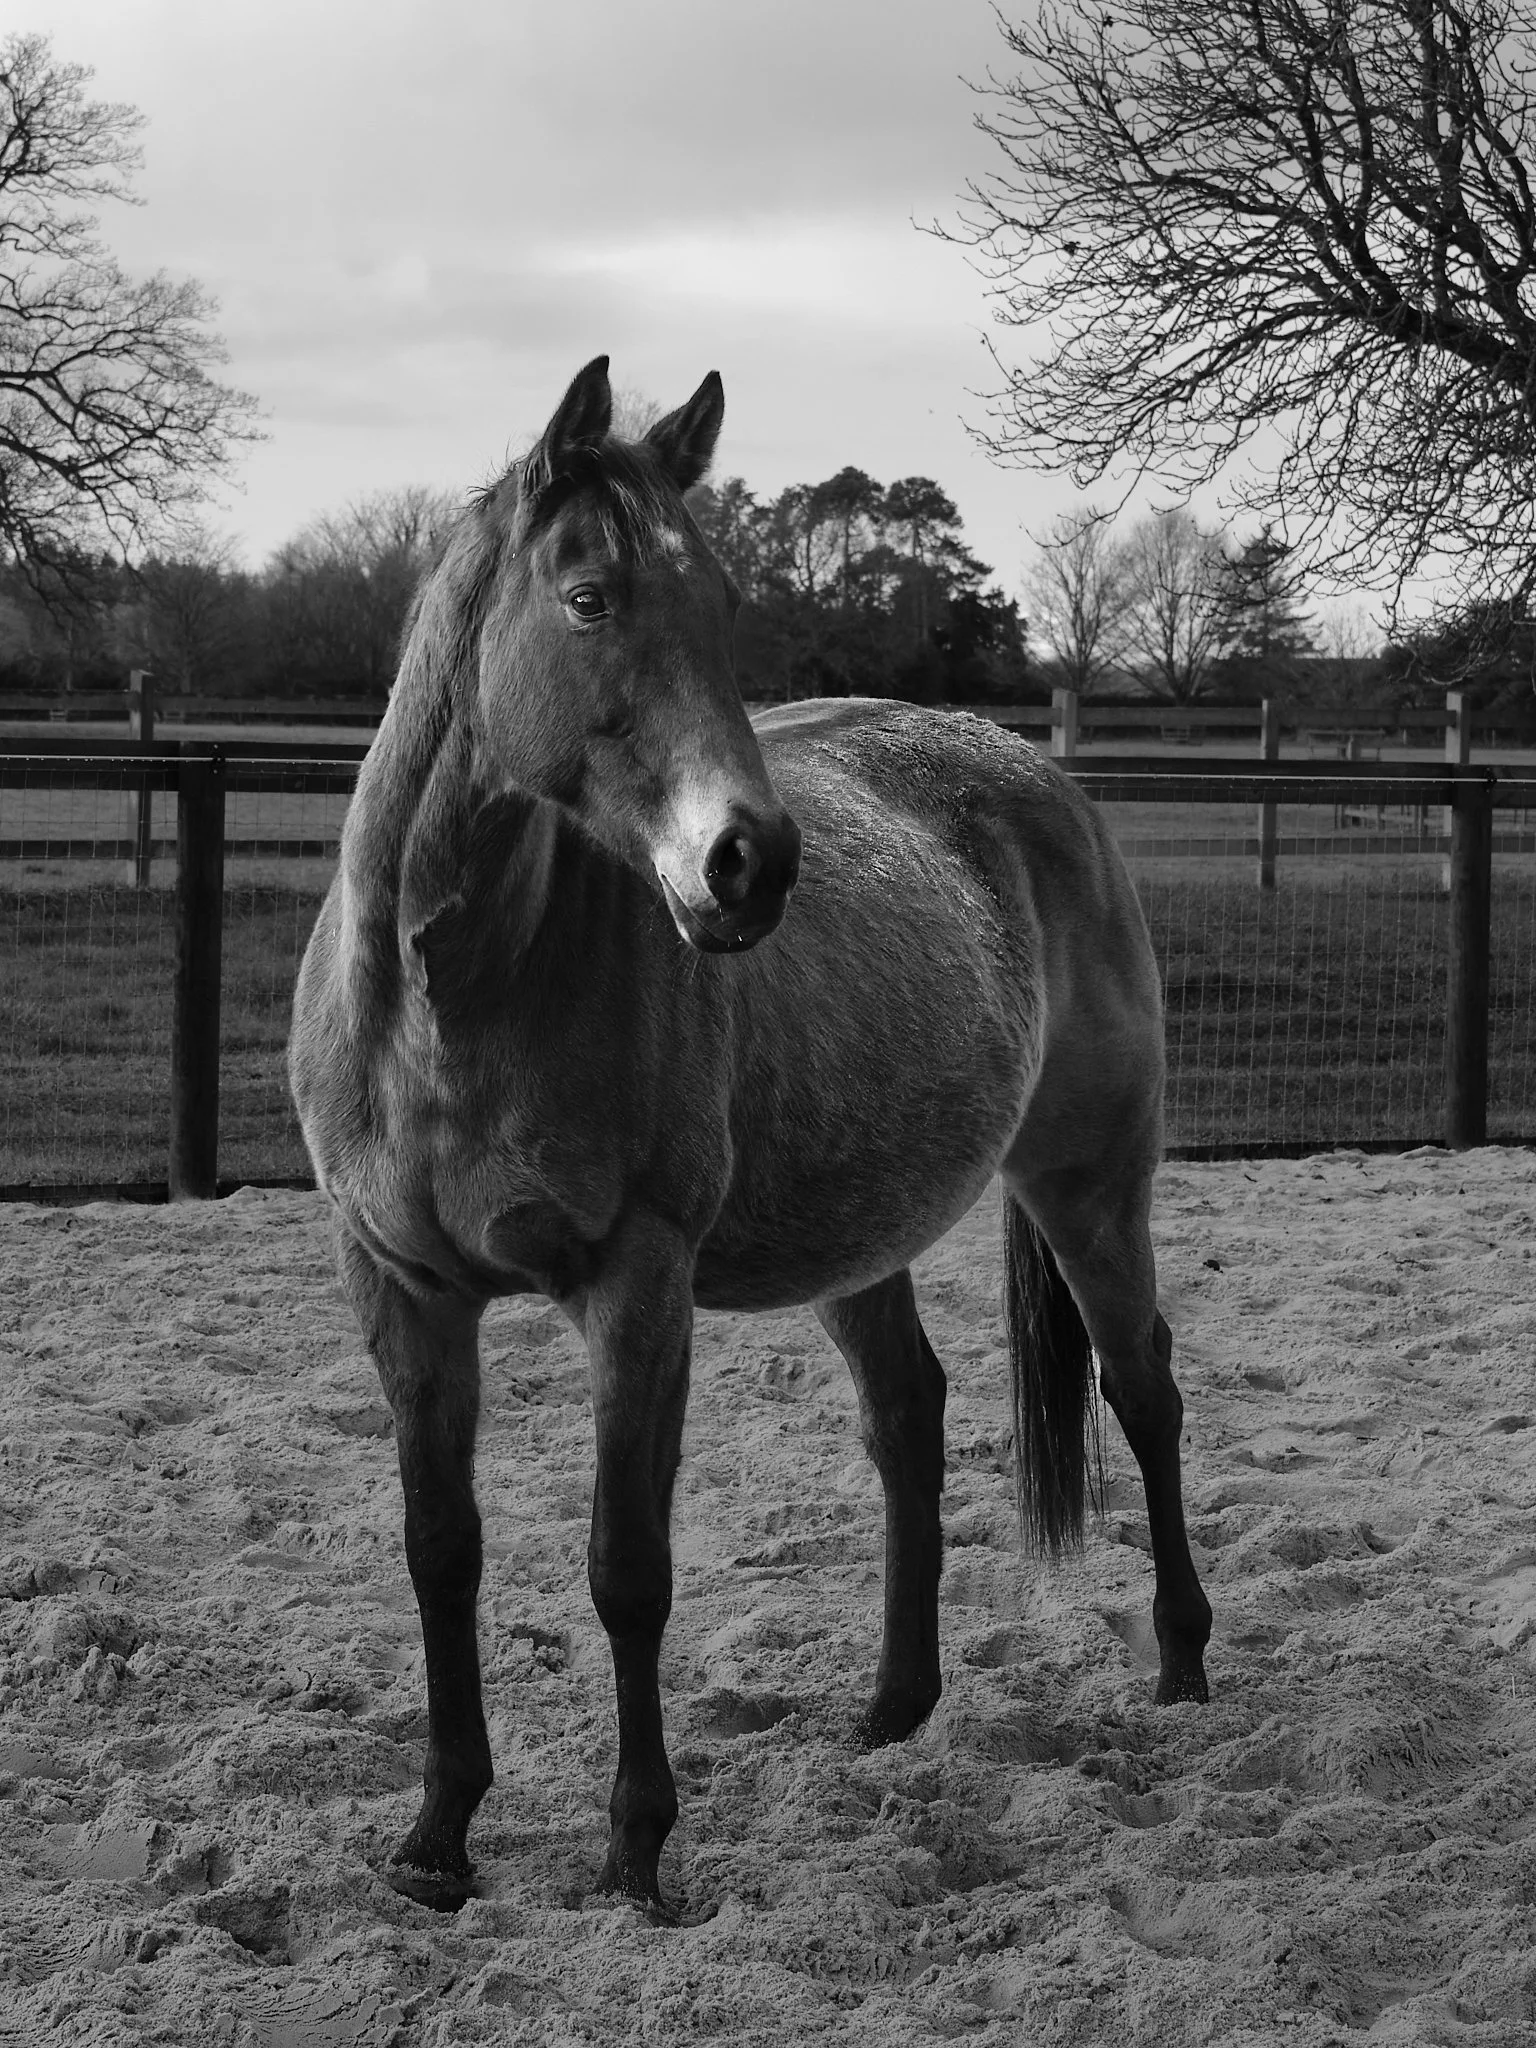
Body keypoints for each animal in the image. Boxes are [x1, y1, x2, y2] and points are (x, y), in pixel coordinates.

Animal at [288, 356, 1213, 1917]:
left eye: (723, 603)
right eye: (590, 596)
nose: (753, 864)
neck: (453, 993)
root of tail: (1046, 785)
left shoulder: (638, 1285)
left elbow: (628, 1566)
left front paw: (636, 1848)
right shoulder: (404, 1291)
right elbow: (439, 1553)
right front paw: (437, 1839)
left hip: (1089, 1186)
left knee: (1144, 1389)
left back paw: (1188, 1664)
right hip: (863, 1237)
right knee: (909, 1415)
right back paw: (895, 1708)